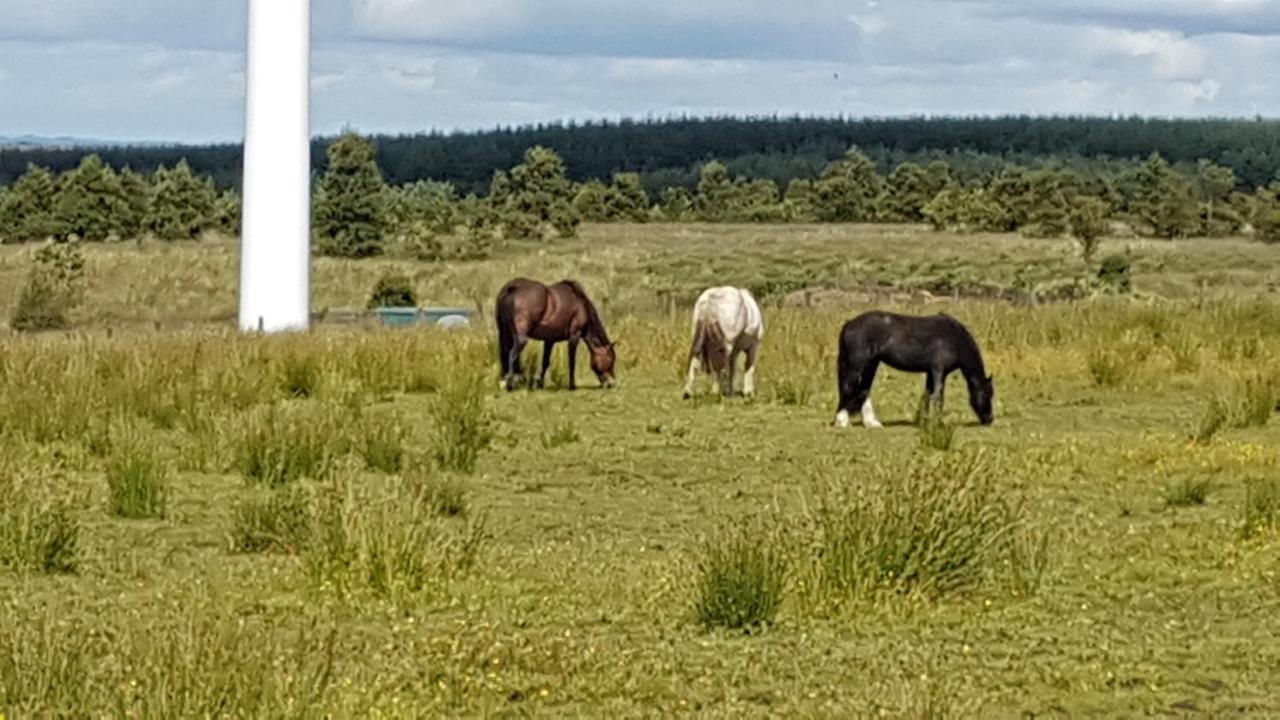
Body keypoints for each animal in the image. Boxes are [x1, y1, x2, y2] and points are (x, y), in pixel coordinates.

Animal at [834, 310, 993, 425]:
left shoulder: (930, 372)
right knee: (847, 387)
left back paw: (872, 423)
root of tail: (849, 324)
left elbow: (927, 395)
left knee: (864, 390)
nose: (989, 419)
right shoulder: (939, 371)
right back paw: (842, 421)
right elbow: (938, 396)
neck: (954, 339)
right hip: (856, 366)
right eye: (987, 394)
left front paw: (924, 420)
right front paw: (936, 422)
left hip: (871, 364)